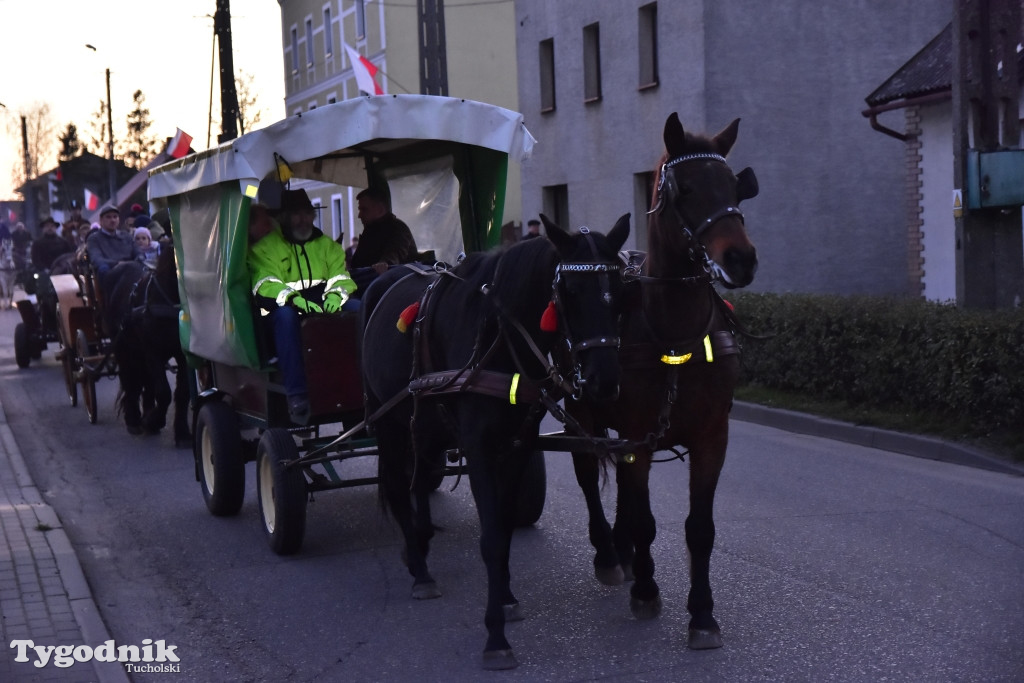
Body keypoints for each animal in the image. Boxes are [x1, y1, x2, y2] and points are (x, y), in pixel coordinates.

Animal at [105, 248, 192, 450]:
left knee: (145, 381)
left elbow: (183, 392)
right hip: (123, 348)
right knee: (129, 380)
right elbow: (164, 392)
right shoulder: (153, 352)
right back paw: (134, 420)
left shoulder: (182, 355)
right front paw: (152, 421)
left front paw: (182, 433)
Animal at [360, 214, 630, 667]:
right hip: (388, 421)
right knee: (398, 486)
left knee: (420, 479)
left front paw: (504, 597)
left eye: (621, 288)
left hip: (424, 426)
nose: (605, 381)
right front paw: (495, 636)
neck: (497, 338)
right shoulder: (479, 449)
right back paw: (420, 569)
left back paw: (421, 542)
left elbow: (502, 530)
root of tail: (388, 277)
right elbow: (489, 539)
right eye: (570, 291)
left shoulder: (518, 446)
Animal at [569, 113, 761, 651]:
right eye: (686, 189)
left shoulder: (712, 437)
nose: (740, 258)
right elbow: (646, 520)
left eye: (735, 185)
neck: (674, 335)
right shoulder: (638, 435)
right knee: (590, 478)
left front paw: (702, 614)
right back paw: (611, 554)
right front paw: (646, 589)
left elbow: (699, 529)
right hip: (582, 413)